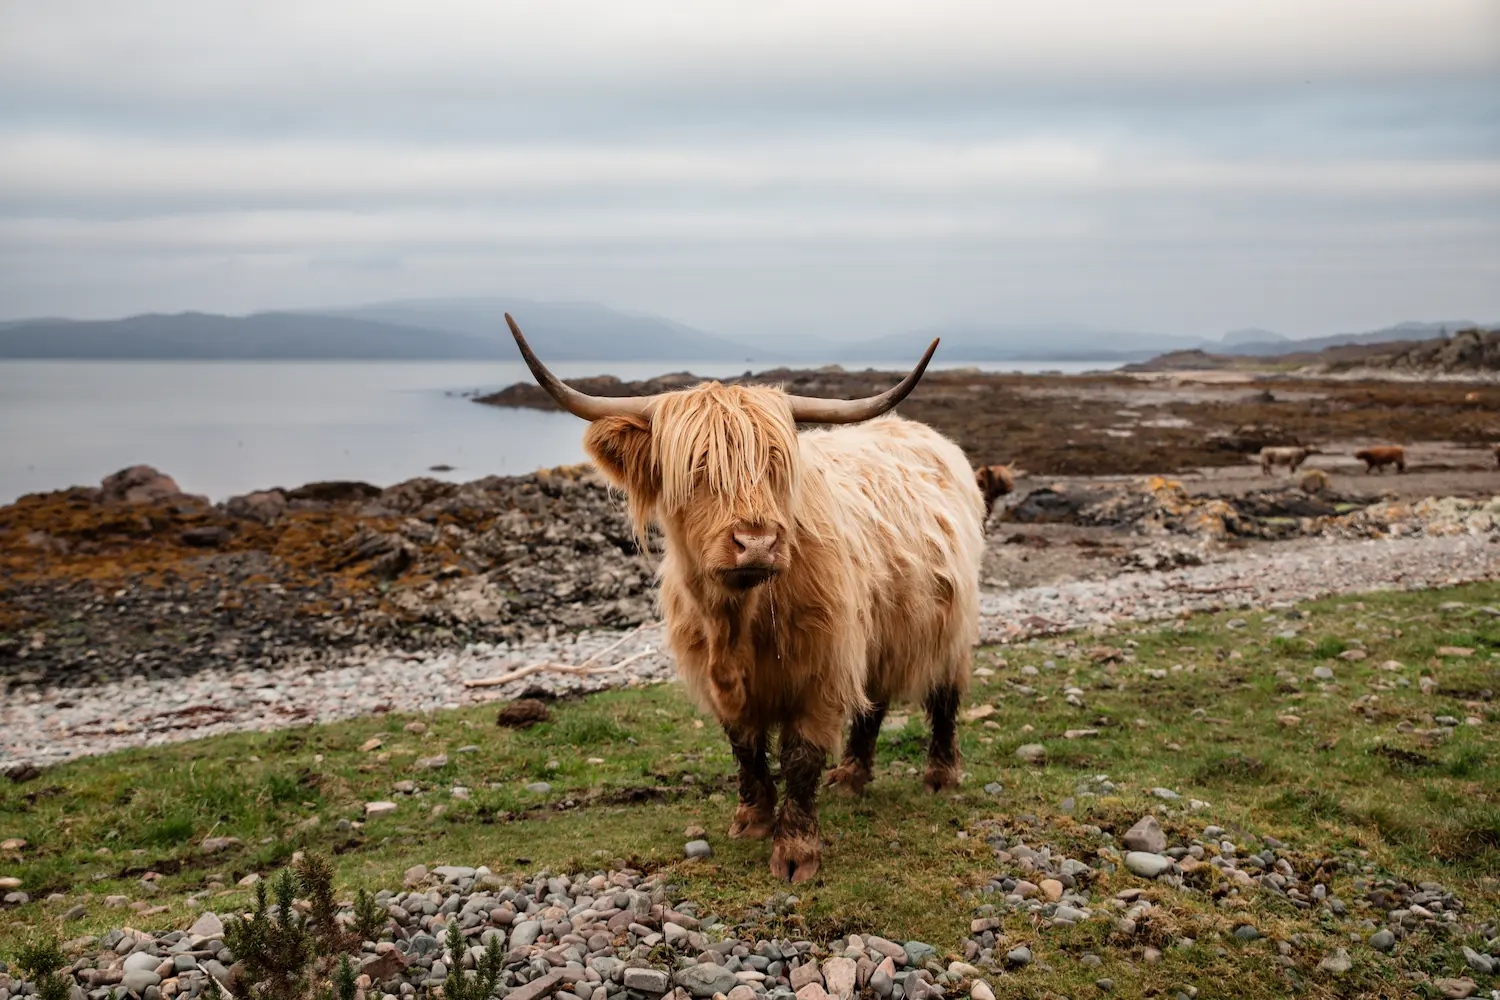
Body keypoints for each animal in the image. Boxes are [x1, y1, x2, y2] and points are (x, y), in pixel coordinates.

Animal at [506, 315, 983, 883]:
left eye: (775, 463)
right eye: (695, 468)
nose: (756, 542)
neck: (736, 622)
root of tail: (925, 434)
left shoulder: (822, 671)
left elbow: (800, 756)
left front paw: (795, 853)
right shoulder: (726, 678)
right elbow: (745, 745)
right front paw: (752, 819)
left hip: (951, 623)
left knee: (944, 695)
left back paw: (940, 776)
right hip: (880, 631)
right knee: (873, 700)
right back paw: (850, 776)